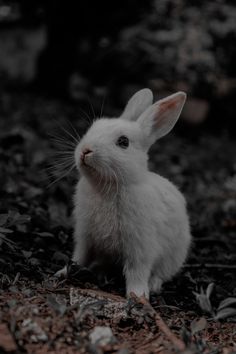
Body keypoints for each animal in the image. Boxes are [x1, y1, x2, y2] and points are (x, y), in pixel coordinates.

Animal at [68, 89, 190, 298]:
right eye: (93, 128)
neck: (108, 187)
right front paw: (63, 272)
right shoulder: (85, 236)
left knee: (161, 273)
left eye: (123, 142)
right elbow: (80, 256)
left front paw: (138, 296)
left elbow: (137, 272)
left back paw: (154, 285)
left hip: (173, 256)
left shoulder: (140, 246)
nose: (85, 151)